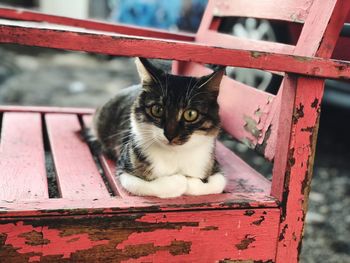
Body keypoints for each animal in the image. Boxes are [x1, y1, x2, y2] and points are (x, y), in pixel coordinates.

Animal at [91, 57, 227, 198]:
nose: (170, 135)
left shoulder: (213, 163)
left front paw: (190, 182)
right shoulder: (124, 169)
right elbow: (146, 185)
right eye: (157, 110)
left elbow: (219, 183)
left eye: (190, 114)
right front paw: (180, 181)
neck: (175, 154)